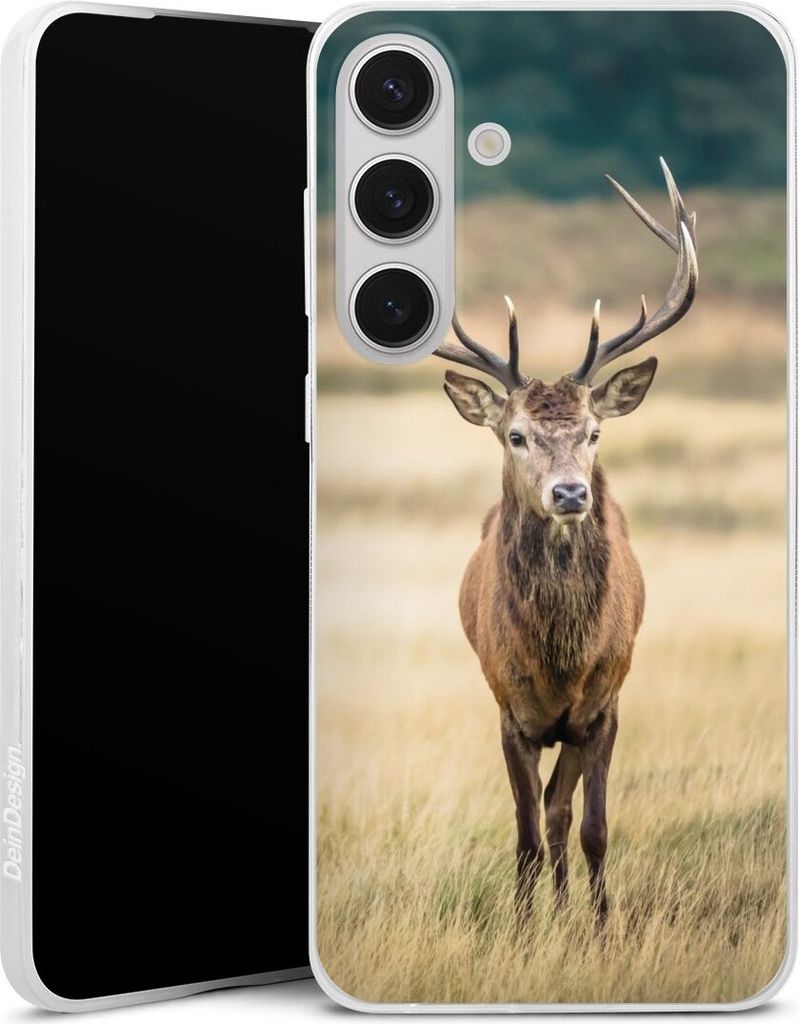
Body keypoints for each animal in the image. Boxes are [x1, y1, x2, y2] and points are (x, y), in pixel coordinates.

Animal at [436, 159, 698, 924]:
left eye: (594, 432)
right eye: (516, 435)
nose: (572, 493)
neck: (559, 659)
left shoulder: (604, 705)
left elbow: (591, 828)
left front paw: (602, 929)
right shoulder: (508, 710)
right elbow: (524, 833)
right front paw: (525, 933)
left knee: (561, 811)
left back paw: (566, 910)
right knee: (544, 814)